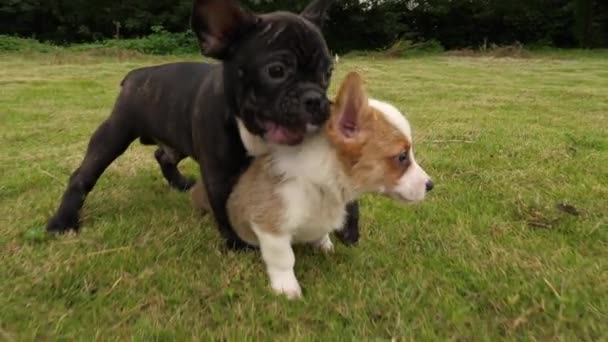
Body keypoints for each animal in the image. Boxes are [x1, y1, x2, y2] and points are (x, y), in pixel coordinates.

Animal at [48, 0, 360, 248]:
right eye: (276, 71)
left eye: (328, 72)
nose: (316, 99)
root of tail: (135, 75)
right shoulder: (219, 173)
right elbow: (225, 206)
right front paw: (239, 244)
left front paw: (349, 226)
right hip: (115, 133)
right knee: (82, 175)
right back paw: (62, 222)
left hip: (176, 138)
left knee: (163, 155)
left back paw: (179, 183)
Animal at [190, 73, 432, 300]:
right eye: (402, 157)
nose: (431, 185)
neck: (322, 182)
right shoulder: (270, 227)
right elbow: (283, 259)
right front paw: (287, 289)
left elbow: (322, 234)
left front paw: (325, 246)